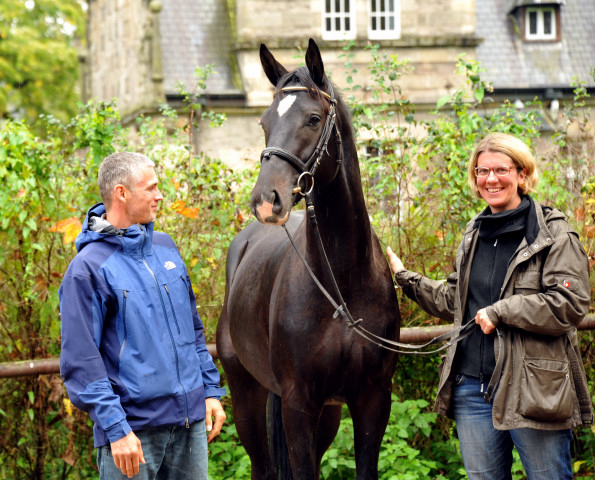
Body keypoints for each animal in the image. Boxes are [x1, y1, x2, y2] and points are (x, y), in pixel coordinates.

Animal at [217, 39, 402, 478]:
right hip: (246, 396)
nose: (266, 201)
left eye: (314, 119)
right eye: (264, 123)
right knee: (263, 466)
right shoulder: (298, 403)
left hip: (328, 414)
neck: (342, 283)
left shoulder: (372, 400)